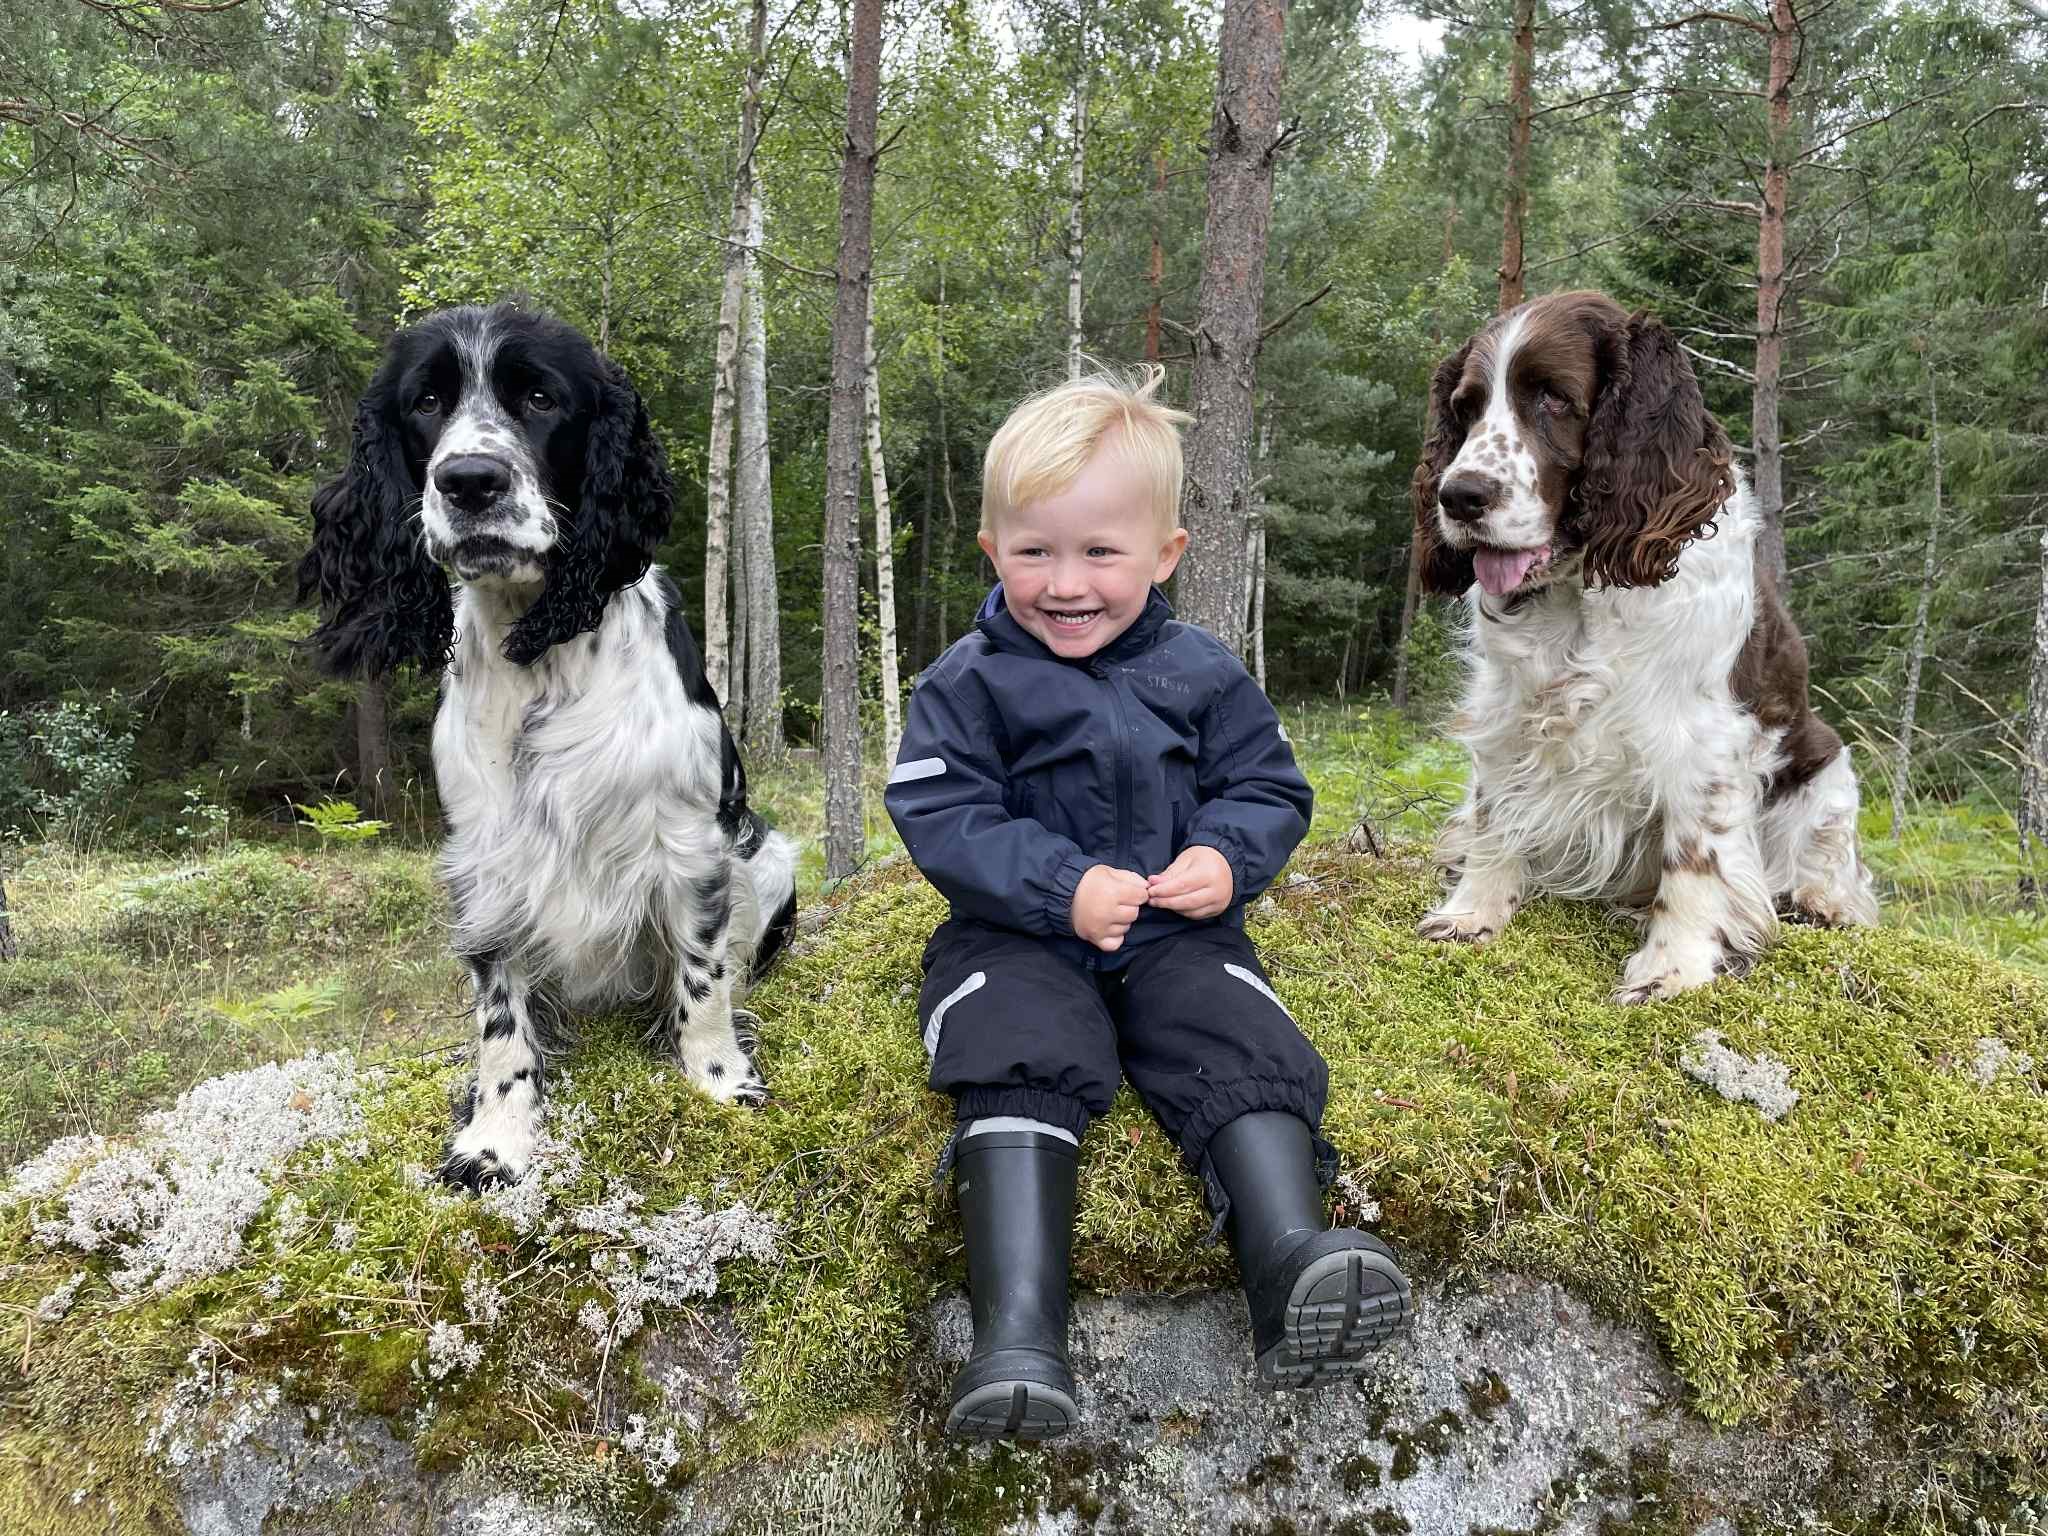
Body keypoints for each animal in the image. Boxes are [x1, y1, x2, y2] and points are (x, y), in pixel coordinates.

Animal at [300, 303, 797, 1188]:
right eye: (426, 402)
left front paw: (719, 1080)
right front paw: (496, 1137)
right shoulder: (486, 864)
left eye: (539, 397)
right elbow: (499, 1020)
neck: (540, 652)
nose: (469, 481)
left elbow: (703, 978)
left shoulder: (690, 844)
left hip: (768, 859)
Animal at [1410, 290, 1877, 1003]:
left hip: (1826, 769)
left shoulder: (1703, 737)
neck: (1581, 591)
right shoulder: (1510, 707)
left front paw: (1672, 968)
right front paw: (1471, 913)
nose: (1458, 496)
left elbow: (1694, 857)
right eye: (1465, 408)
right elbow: (1496, 810)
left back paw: (1820, 900)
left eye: (1554, 398)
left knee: (1830, 858)